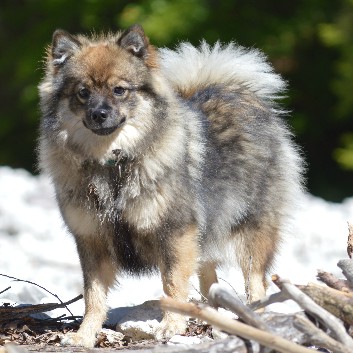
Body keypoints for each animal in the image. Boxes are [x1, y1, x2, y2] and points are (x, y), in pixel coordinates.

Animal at [37, 24, 302, 346]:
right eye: (83, 93)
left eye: (119, 90)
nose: (98, 114)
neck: (113, 163)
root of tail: (236, 90)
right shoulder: (92, 239)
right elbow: (93, 296)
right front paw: (84, 335)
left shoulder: (175, 232)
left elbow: (172, 282)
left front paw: (172, 325)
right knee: (209, 280)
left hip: (250, 232)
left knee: (255, 282)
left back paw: (253, 319)